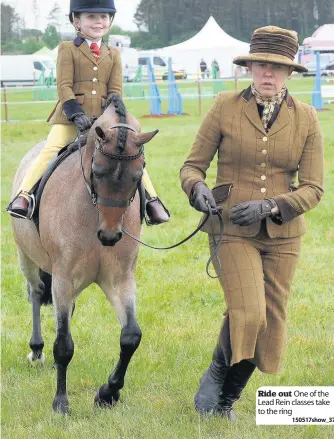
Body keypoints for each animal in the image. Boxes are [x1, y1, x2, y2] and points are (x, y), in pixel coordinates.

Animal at [9, 94, 158, 414]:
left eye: (138, 174)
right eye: (97, 170)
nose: (110, 236)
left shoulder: (120, 280)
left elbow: (131, 336)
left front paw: (108, 394)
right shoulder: (63, 279)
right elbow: (64, 345)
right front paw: (60, 402)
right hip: (27, 258)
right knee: (35, 293)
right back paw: (37, 350)